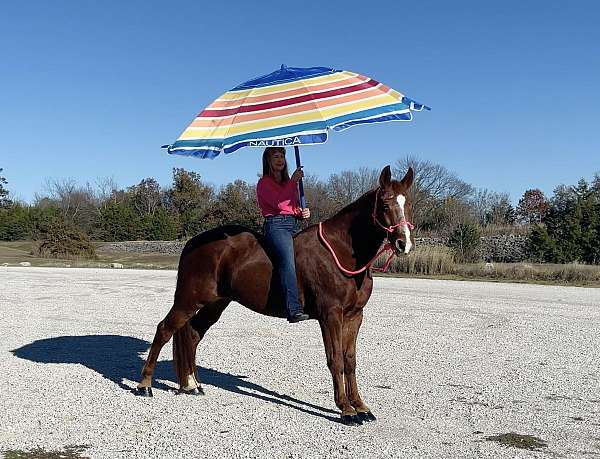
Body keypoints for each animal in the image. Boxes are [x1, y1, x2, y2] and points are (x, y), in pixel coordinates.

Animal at [138, 164, 414, 424]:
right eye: (385, 203)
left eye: (408, 203)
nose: (404, 243)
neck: (340, 251)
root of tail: (194, 242)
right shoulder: (331, 316)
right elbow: (335, 359)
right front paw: (346, 410)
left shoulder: (355, 316)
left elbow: (350, 360)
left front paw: (361, 406)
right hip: (189, 299)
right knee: (164, 330)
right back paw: (145, 385)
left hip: (215, 303)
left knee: (192, 334)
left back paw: (192, 384)